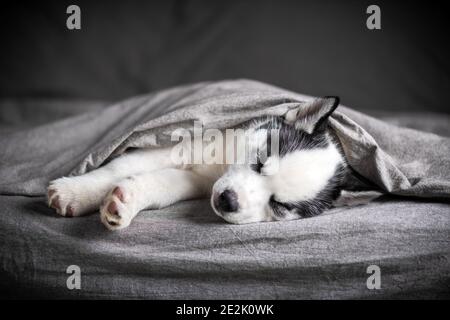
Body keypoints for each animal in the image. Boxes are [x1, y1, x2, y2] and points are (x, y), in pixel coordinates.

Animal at [46, 96, 376, 229]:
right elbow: (120, 167)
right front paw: (76, 192)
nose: (228, 200)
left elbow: (163, 185)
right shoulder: (180, 145)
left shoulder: (200, 183)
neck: (222, 166)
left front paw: (125, 203)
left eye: (280, 206)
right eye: (259, 162)